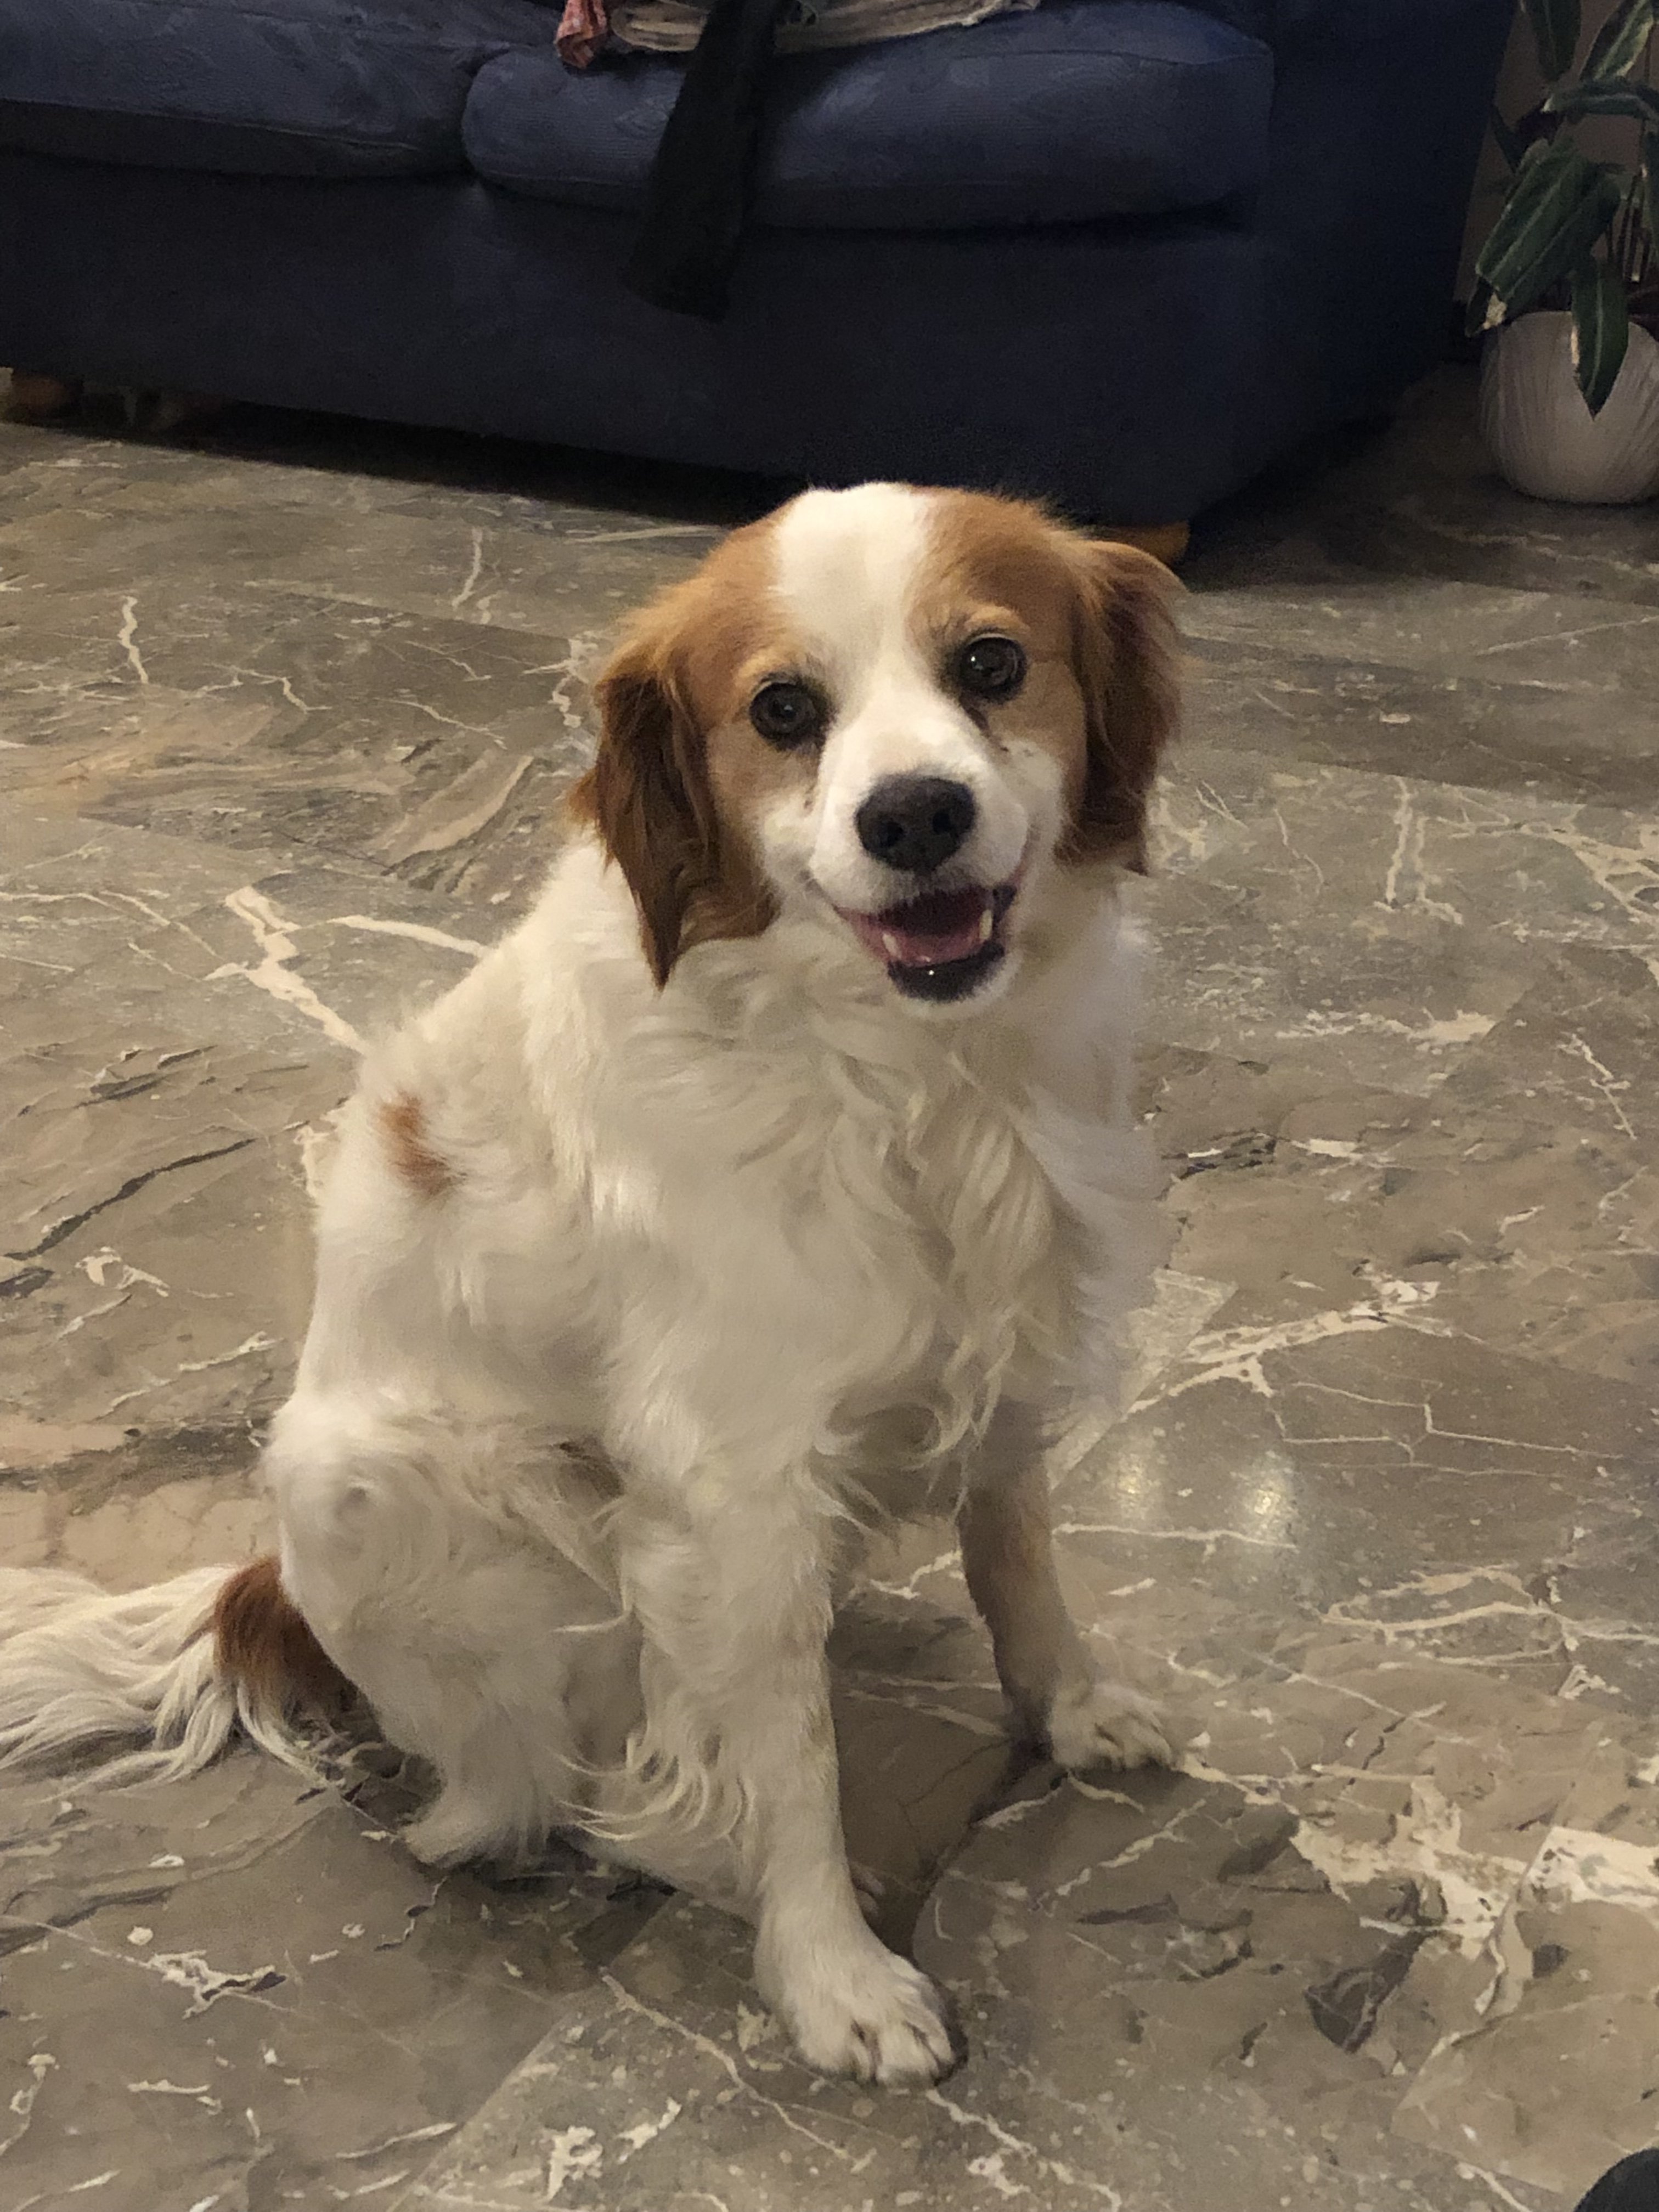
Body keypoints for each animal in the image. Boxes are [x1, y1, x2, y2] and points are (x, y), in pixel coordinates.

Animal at [0, 483, 1180, 2086]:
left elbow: (1022, 1568)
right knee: (522, 1809)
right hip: (408, 1489)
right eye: (784, 709)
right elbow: (787, 1761)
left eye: (992, 665)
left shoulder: (1006, 1346)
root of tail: (269, 1595)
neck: (910, 1074)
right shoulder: (736, 1480)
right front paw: (832, 1974)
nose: (915, 815)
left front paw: (1070, 1710)